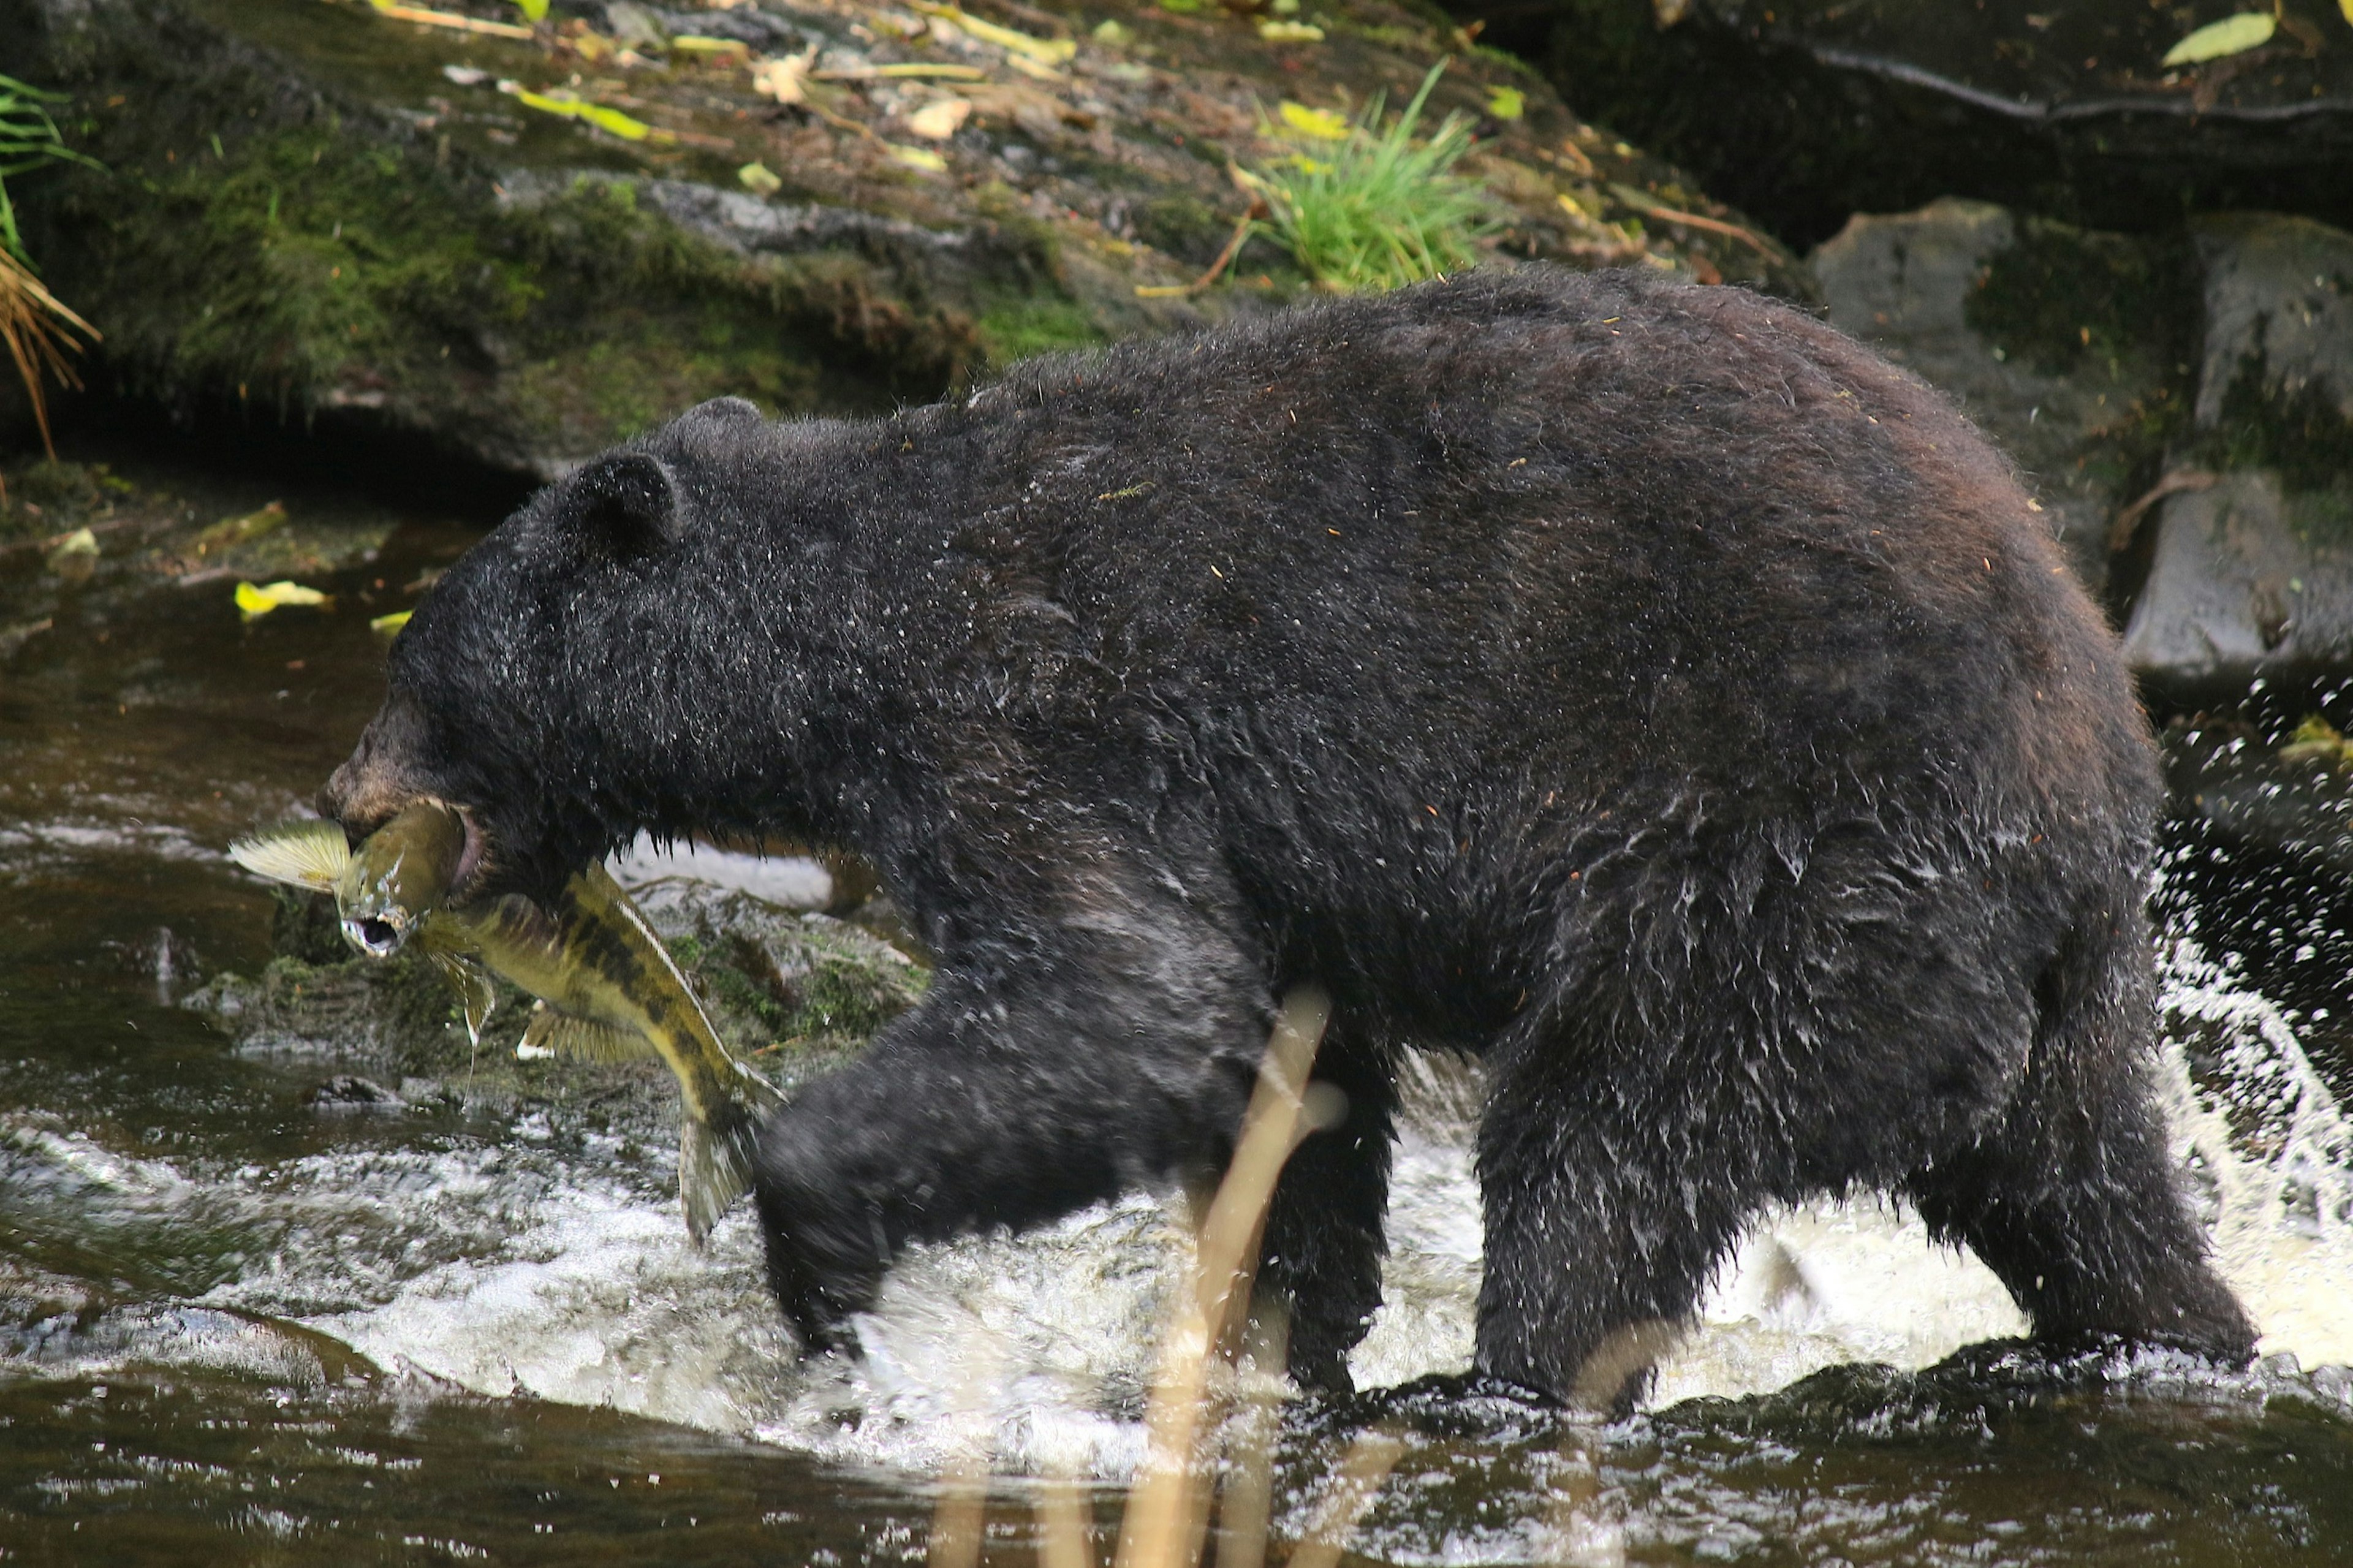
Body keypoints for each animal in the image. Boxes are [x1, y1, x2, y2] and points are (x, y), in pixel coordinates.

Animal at [332, 262, 2259, 1393]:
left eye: (422, 655)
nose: (349, 798)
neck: (852, 621)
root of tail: (2098, 801)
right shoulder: (1276, 873)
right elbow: (1288, 1077)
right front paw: (1255, 1339)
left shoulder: (1037, 715)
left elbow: (1129, 993)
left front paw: (815, 1264)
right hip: (2008, 989)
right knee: (2088, 1184)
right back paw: (2176, 1337)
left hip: (1785, 875)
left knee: (1603, 1150)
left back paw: (1497, 1377)